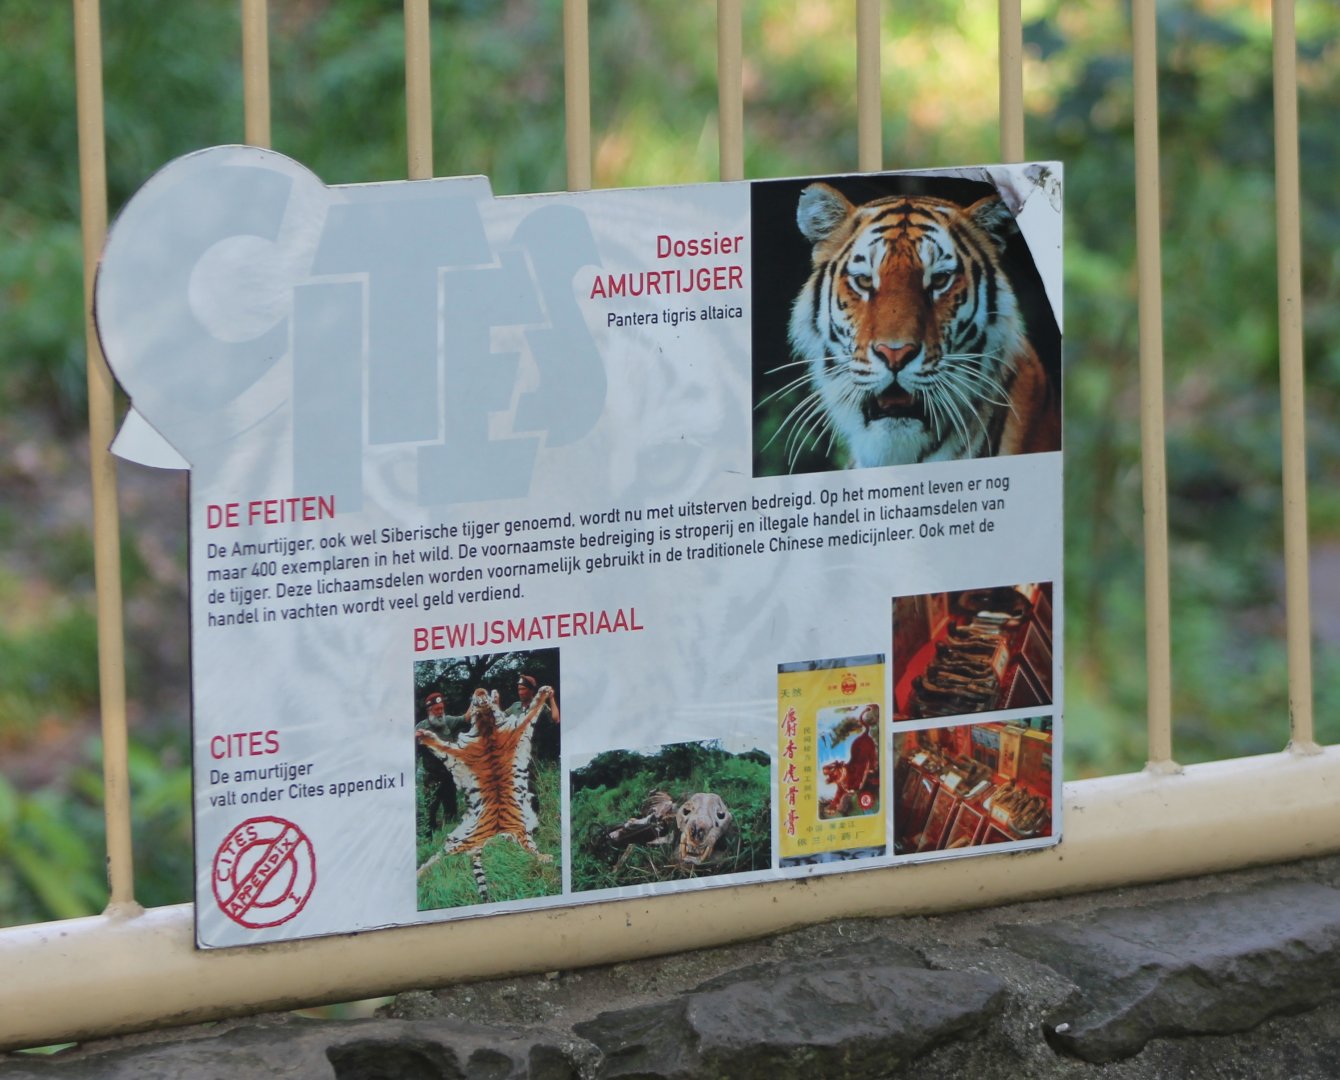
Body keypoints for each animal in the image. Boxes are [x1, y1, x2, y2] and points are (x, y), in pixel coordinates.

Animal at [415, 685, 555, 901]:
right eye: (477, 701)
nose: (480, 690)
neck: (487, 725)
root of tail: (481, 843)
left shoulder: (462, 750)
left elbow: (532, 710)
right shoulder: (515, 730)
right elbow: (532, 711)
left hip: (456, 843)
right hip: (473, 840)